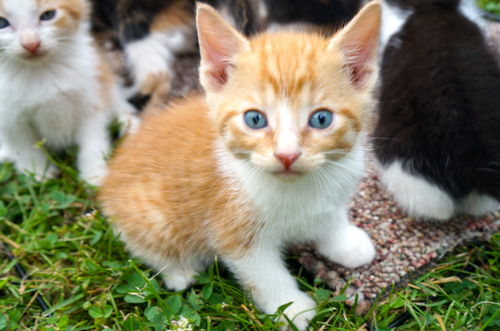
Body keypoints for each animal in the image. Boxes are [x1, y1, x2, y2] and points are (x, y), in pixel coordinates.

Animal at [0, 0, 137, 187]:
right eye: (1, 23)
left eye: (48, 15)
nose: (31, 44)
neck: (41, 71)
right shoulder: (10, 118)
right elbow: (24, 146)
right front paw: (39, 173)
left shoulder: (91, 96)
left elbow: (93, 140)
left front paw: (94, 176)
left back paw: (130, 125)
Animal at [99, 1, 380, 330]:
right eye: (255, 119)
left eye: (321, 119)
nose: (287, 155)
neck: (297, 186)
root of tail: (112, 173)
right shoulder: (234, 233)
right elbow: (266, 275)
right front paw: (292, 309)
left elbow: (330, 217)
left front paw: (346, 244)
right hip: (149, 216)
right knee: (140, 242)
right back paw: (179, 272)